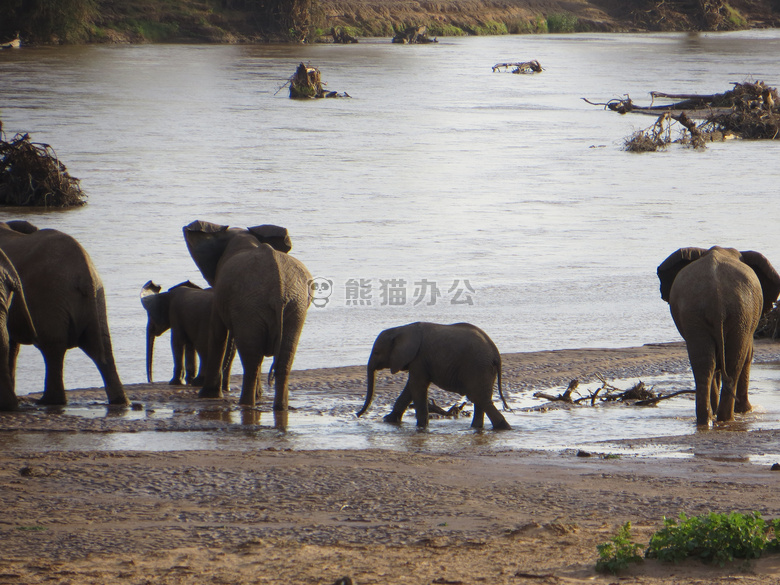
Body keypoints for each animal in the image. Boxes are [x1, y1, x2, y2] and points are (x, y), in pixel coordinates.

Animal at [0, 219, 128, 406]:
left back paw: (47, 401)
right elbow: (12, 345)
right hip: (97, 299)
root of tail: (85, 274)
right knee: (103, 347)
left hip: (50, 297)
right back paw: (119, 401)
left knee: (52, 346)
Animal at [183, 219, 314, 406]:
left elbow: (218, 333)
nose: (225, 387)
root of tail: (278, 288)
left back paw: (245, 404)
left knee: (252, 359)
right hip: (295, 306)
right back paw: (278, 406)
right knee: (283, 358)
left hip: (254, 304)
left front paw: (207, 395)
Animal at [354, 320, 512, 428]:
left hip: (477, 367)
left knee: (479, 398)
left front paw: (421, 427)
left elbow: (417, 386)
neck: (401, 329)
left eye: (376, 352)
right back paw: (477, 428)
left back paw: (502, 428)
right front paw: (388, 420)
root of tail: (496, 354)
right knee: (481, 400)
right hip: (484, 369)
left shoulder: (419, 358)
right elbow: (410, 388)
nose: (357, 414)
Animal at [660, 246, 780, 424]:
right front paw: (746, 411)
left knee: (705, 365)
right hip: (741, 314)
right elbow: (748, 355)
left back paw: (707, 419)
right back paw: (727, 418)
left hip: (696, 314)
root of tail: (716, 296)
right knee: (733, 363)